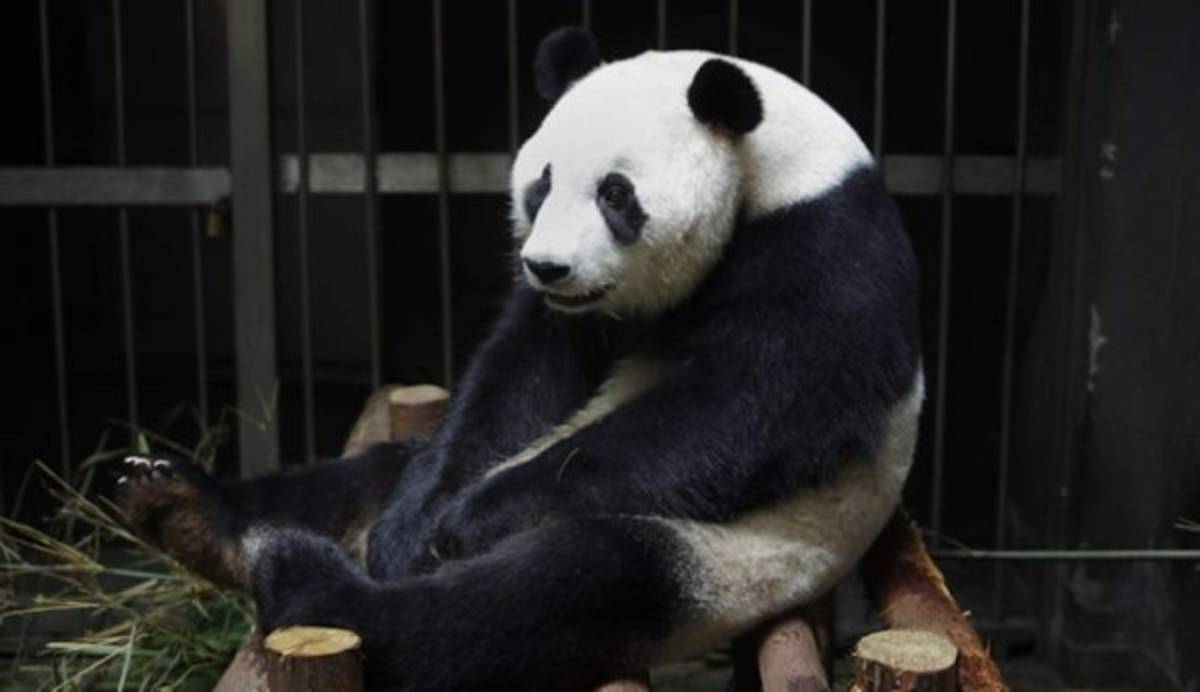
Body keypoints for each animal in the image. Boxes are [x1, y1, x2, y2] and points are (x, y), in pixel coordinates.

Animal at [117, 27, 921, 690]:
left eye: (616, 193)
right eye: (543, 182)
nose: (547, 267)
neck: (772, 164)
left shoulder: (824, 245)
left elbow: (756, 405)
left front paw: (469, 523)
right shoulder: (568, 322)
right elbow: (521, 375)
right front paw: (416, 530)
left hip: (742, 558)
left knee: (566, 585)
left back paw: (312, 585)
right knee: (364, 477)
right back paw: (184, 507)